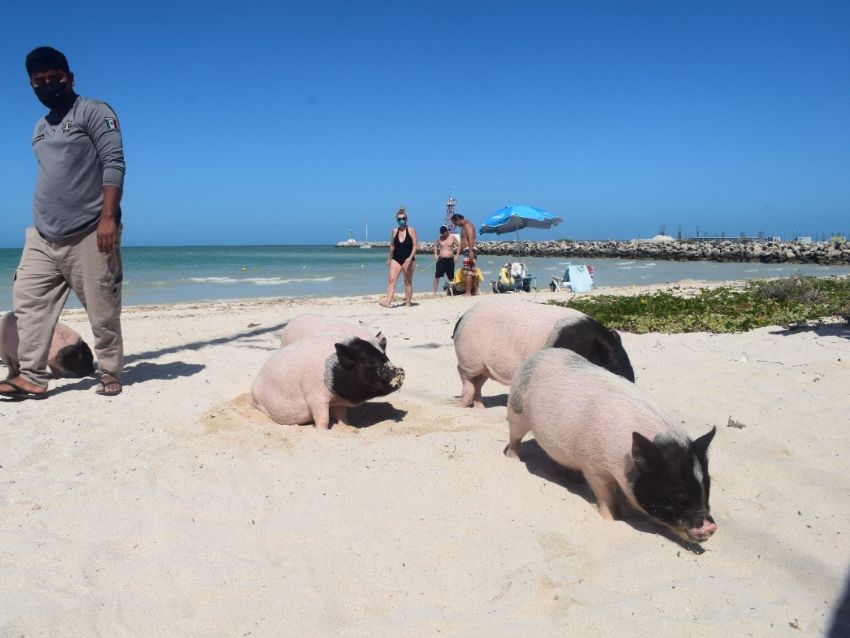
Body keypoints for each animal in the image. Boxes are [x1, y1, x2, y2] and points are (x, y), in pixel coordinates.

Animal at [252, 333, 404, 429]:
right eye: (370, 362)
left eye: (386, 356)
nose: (401, 370)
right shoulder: (315, 398)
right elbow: (323, 419)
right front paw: (322, 431)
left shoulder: (340, 402)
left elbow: (342, 416)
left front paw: (348, 427)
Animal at [453, 297, 634, 408]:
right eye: (614, 371)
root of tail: (463, 318)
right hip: (470, 358)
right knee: (462, 372)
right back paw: (462, 402)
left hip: (484, 367)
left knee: (478, 383)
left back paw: (480, 408)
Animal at [506, 348, 717, 543]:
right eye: (677, 491)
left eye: (707, 484)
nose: (710, 527)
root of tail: (540, 353)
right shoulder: (594, 466)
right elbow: (605, 494)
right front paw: (612, 518)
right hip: (517, 410)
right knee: (514, 437)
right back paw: (514, 459)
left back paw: (574, 480)